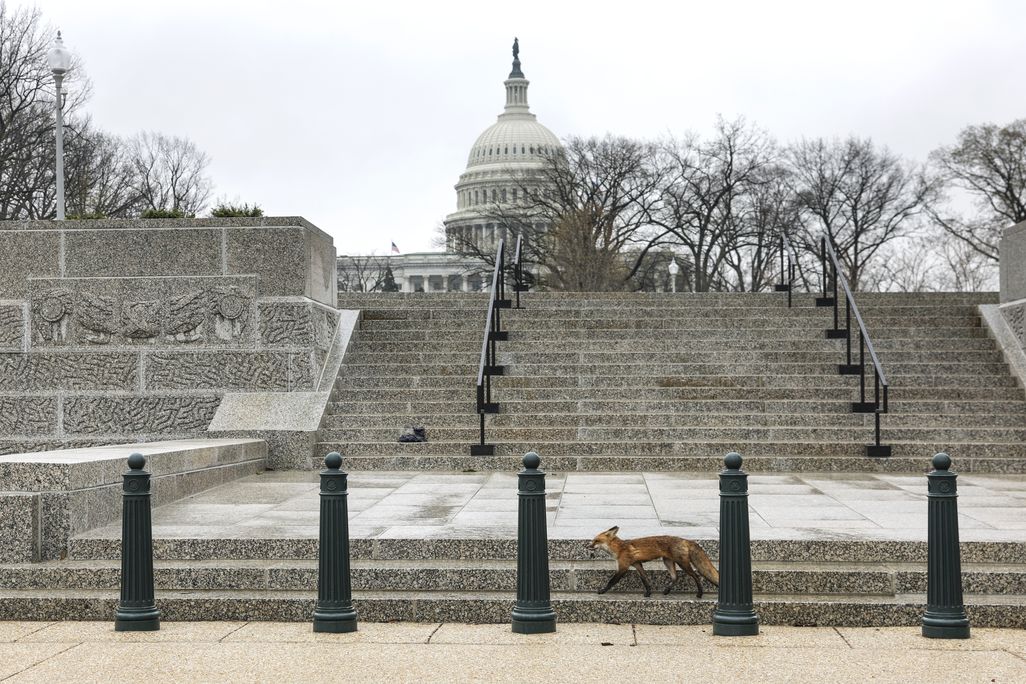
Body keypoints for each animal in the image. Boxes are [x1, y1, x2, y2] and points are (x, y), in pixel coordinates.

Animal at [588, 526, 719, 598]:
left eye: (596, 541)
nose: (587, 546)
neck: (619, 549)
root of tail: (685, 540)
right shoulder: (637, 565)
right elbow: (645, 580)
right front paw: (648, 593)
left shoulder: (623, 567)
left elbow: (611, 581)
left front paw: (602, 591)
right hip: (668, 562)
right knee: (675, 577)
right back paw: (666, 591)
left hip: (683, 564)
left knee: (696, 576)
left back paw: (700, 594)